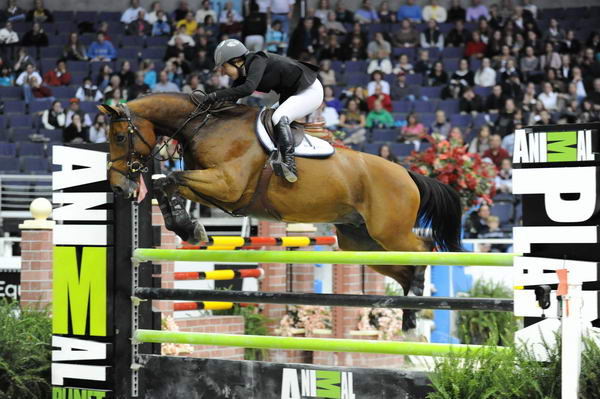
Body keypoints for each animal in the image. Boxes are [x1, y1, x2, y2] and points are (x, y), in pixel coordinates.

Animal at [99, 92, 464, 330]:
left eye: (119, 137)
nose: (118, 187)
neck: (203, 126)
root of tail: (407, 173)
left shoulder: (227, 185)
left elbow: (168, 179)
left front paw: (189, 227)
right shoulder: (217, 190)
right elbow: (166, 184)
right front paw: (185, 226)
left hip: (389, 231)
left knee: (423, 249)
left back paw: (416, 304)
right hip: (362, 243)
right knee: (404, 268)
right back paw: (410, 316)